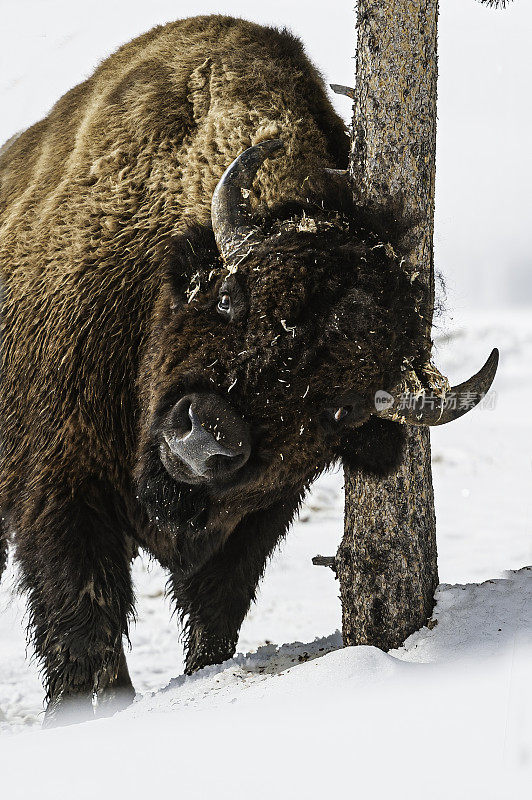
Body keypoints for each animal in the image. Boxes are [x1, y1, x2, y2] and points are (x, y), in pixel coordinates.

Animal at [1, 14, 498, 724]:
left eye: (339, 408)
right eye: (232, 298)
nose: (205, 436)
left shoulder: (255, 524)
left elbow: (215, 615)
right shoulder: (62, 486)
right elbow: (85, 617)